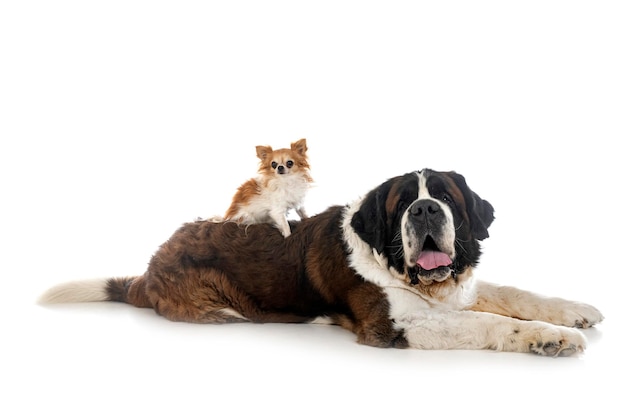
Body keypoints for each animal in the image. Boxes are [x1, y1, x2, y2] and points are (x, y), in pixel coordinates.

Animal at [37, 169, 600, 356]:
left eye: (445, 197)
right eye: (403, 203)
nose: (424, 210)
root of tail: (148, 270)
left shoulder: (454, 289)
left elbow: (512, 294)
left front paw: (575, 312)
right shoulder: (393, 324)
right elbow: (486, 321)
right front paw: (551, 339)